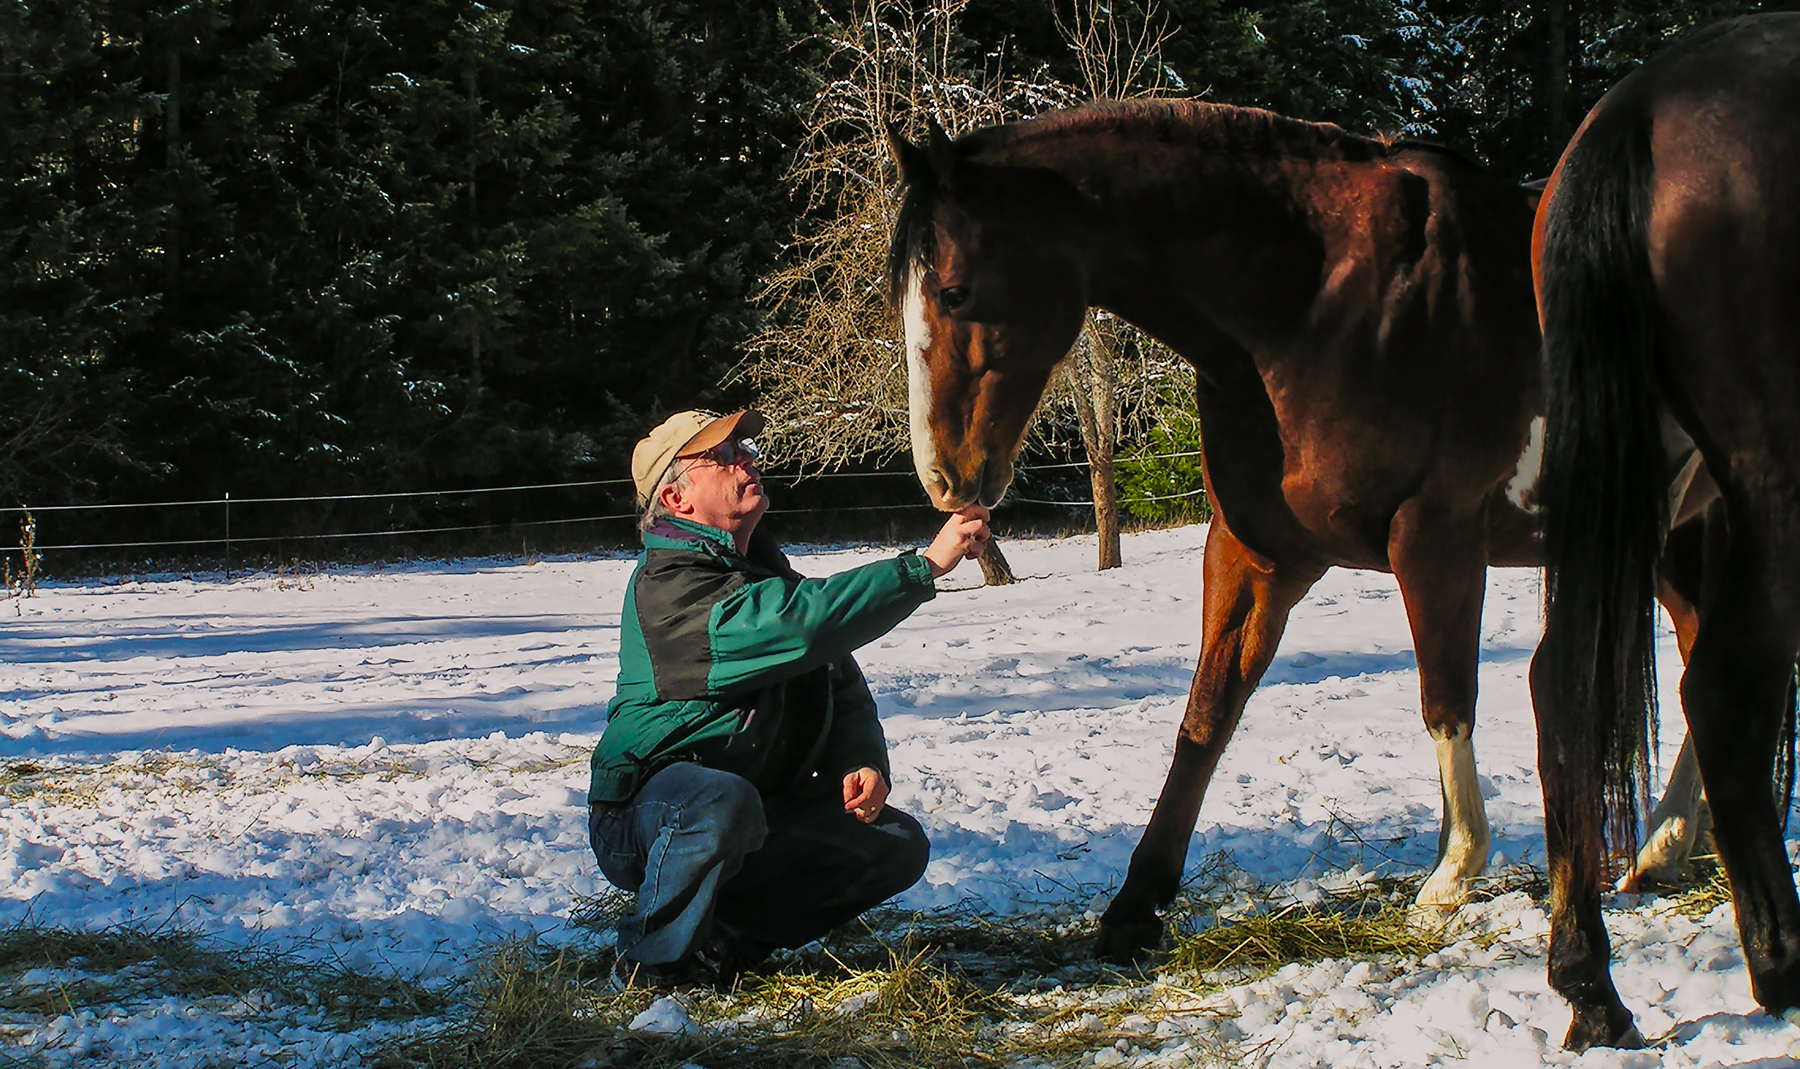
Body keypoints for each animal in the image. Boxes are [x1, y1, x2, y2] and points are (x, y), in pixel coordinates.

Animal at [892, 97, 1720, 950]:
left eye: (955, 291)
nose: (944, 477)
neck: (1316, 301)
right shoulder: (1256, 556)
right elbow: (1206, 716)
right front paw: (1136, 902)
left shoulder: (1436, 536)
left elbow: (1444, 698)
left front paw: (1453, 870)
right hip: (1675, 535)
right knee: (1702, 656)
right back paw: (1667, 845)